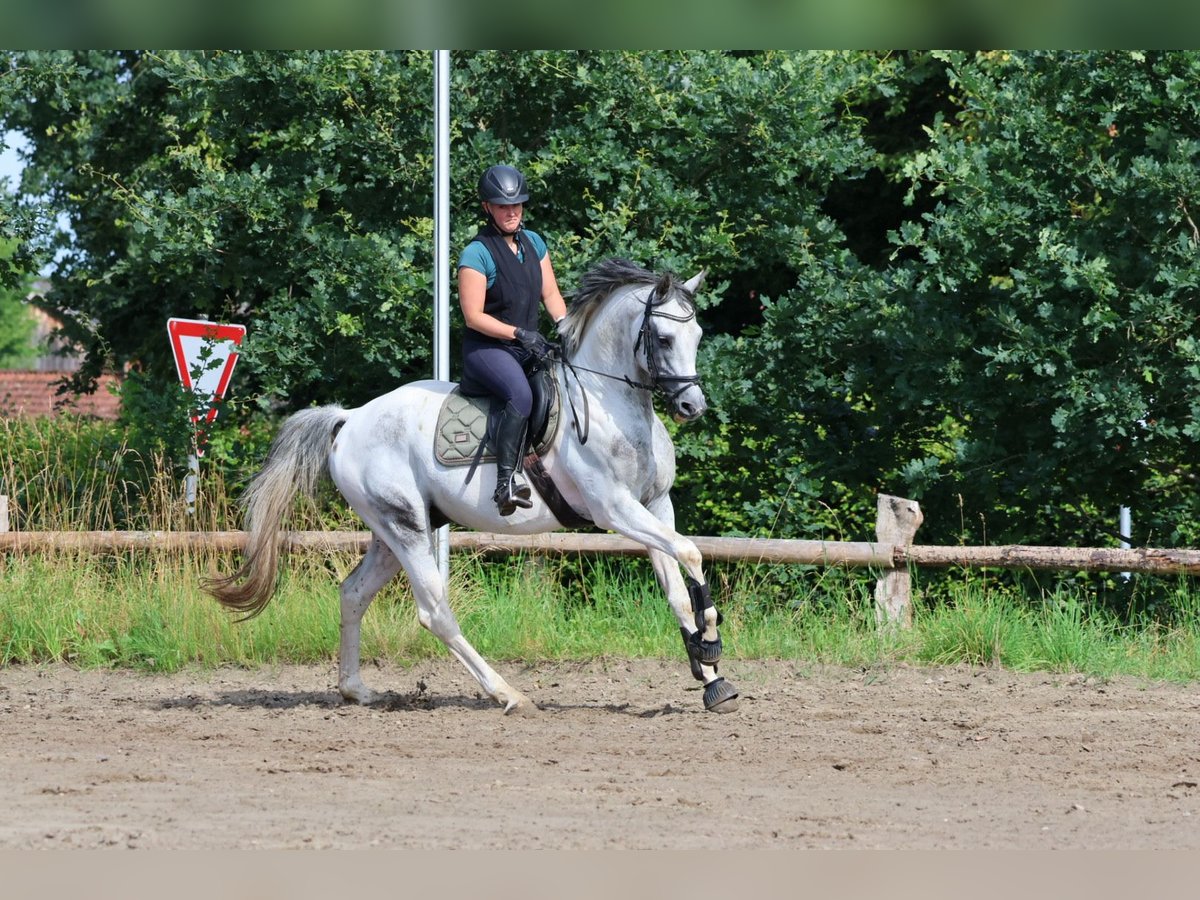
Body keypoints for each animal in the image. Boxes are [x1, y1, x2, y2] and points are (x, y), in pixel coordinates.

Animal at [208, 256, 739, 715]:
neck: (609, 399)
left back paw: (356, 690)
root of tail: (351, 418)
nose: (693, 407)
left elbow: (677, 585)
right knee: (435, 612)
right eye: (664, 338)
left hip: (394, 529)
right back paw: (508, 693)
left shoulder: (655, 504)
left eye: (697, 334)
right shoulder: (615, 509)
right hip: (407, 529)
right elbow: (690, 552)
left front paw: (711, 679)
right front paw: (710, 643)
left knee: (353, 593)